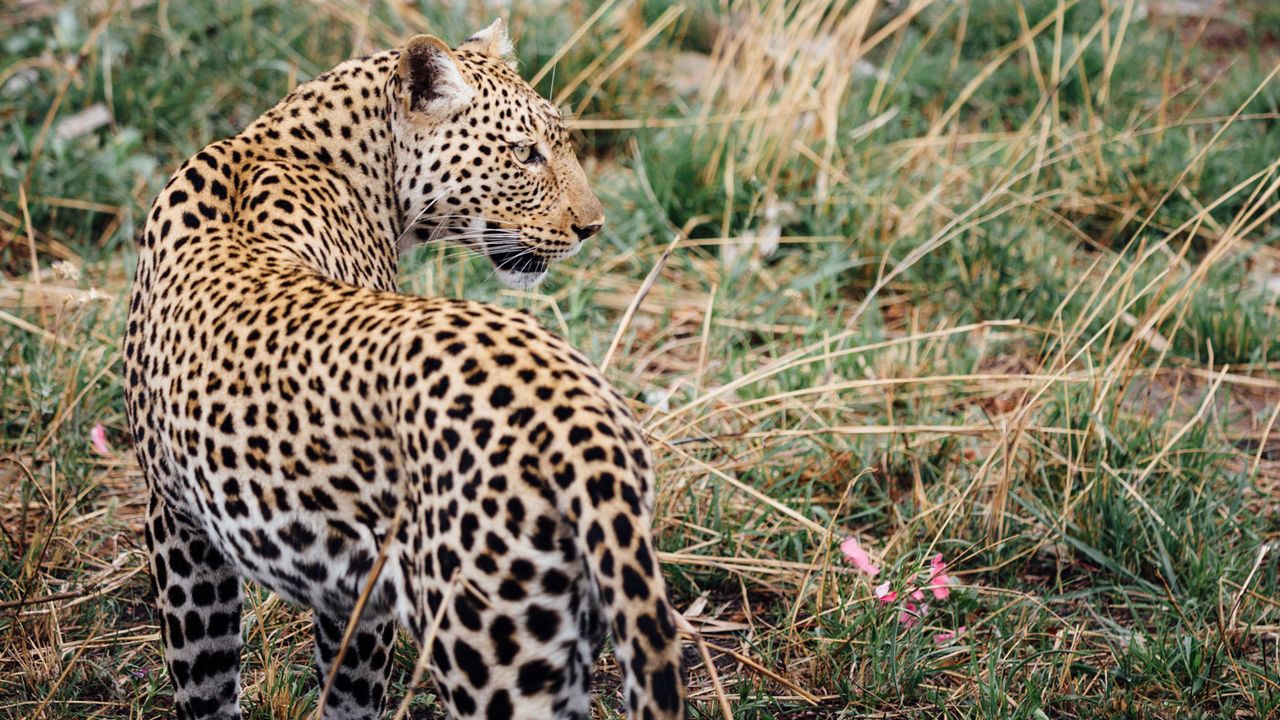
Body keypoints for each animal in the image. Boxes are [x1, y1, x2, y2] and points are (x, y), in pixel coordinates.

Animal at [123, 19, 687, 720]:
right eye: (525, 154)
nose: (593, 227)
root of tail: (578, 421)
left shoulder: (216, 534)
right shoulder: (181, 523)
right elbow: (215, 675)